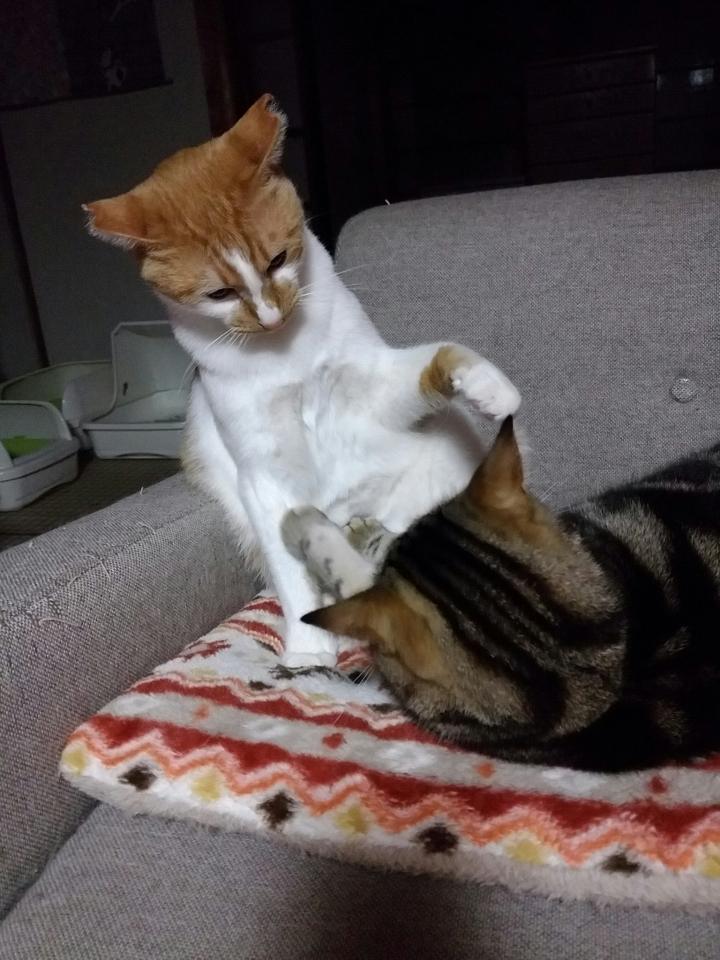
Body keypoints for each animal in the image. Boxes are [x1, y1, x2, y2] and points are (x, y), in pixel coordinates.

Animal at [83, 94, 521, 667]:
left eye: (278, 258)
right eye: (219, 294)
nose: (271, 317)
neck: (286, 356)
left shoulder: (369, 390)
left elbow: (438, 358)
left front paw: (486, 385)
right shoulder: (262, 474)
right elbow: (292, 571)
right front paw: (310, 650)